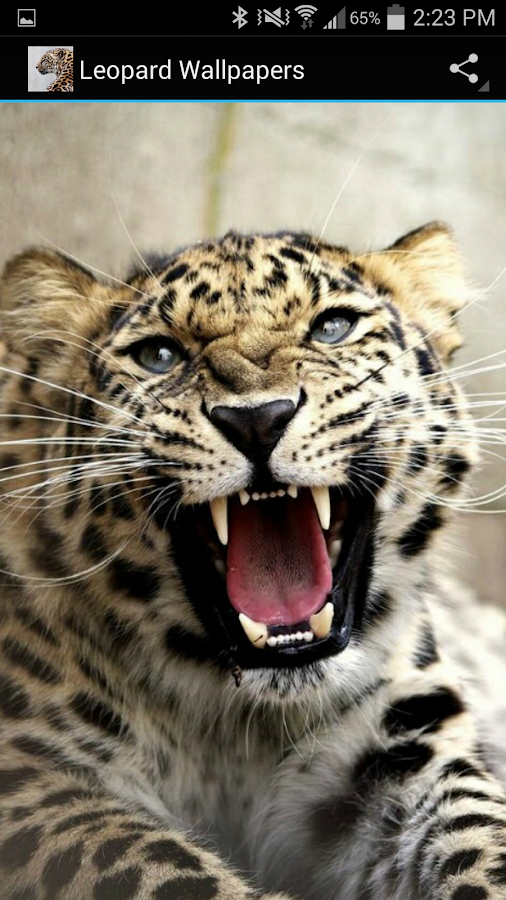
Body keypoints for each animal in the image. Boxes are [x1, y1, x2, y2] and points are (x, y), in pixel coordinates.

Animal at [0, 223, 506, 900]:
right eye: (160, 356)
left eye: (332, 327)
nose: (257, 419)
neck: (240, 724)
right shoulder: (36, 782)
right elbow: (157, 865)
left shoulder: (403, 748)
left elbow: (478, 832)